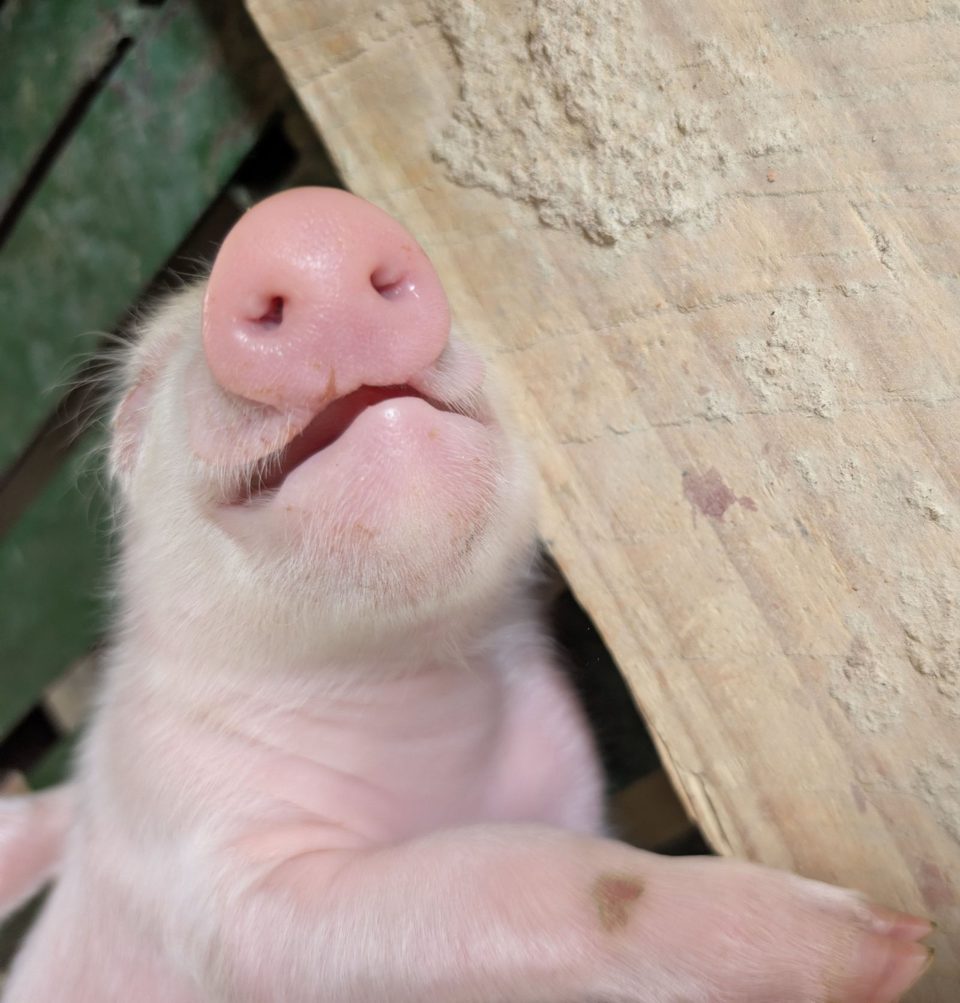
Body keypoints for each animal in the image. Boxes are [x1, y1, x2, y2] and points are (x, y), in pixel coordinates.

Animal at [0, 188, 933, 1002]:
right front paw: (898, 944)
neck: (413, 699)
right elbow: (499, 877)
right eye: (138, 388)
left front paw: (905, 940)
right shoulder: (202, 874)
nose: (301, 223)